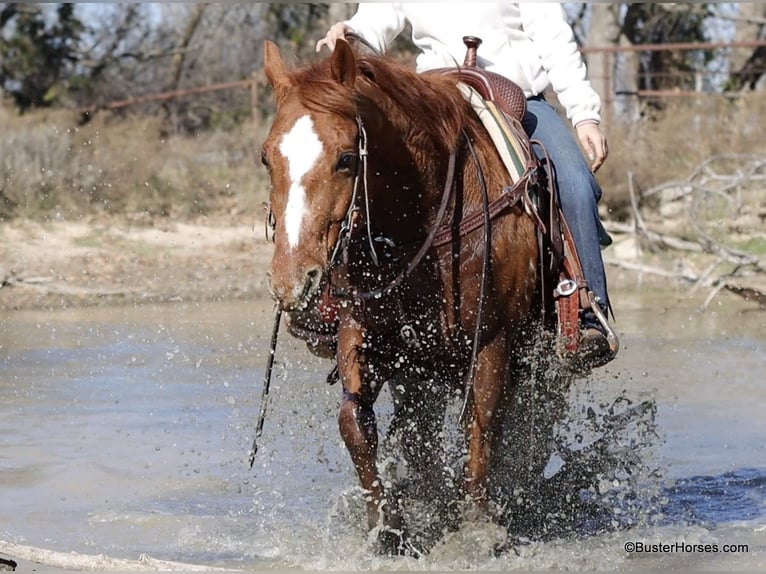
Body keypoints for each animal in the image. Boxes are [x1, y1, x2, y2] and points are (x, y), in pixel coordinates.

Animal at [260, 38, 550, 551]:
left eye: (346, 159)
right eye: (265, 158)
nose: (292, 280)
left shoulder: (493, 340)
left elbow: (483, 425)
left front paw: (477, 525)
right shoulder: (366, 338)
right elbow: (355, 424)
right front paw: (387, 526)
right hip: (419, 375)